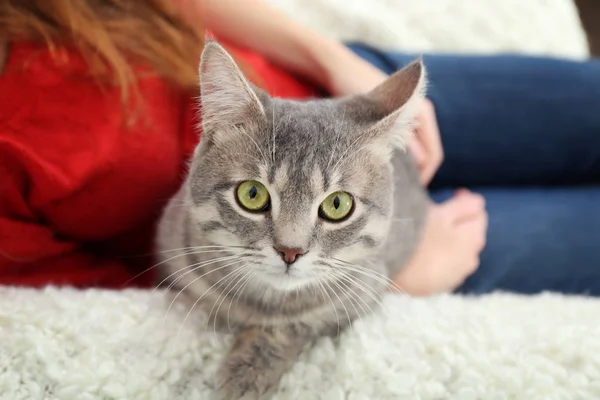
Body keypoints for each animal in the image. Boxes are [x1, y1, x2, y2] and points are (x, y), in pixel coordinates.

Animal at [155, 41, 426, 400]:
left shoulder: (361, 292)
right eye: (252, 194)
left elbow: (292, 327)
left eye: (337, 204)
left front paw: (247, 371)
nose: (290, 251)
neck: (265, 303)